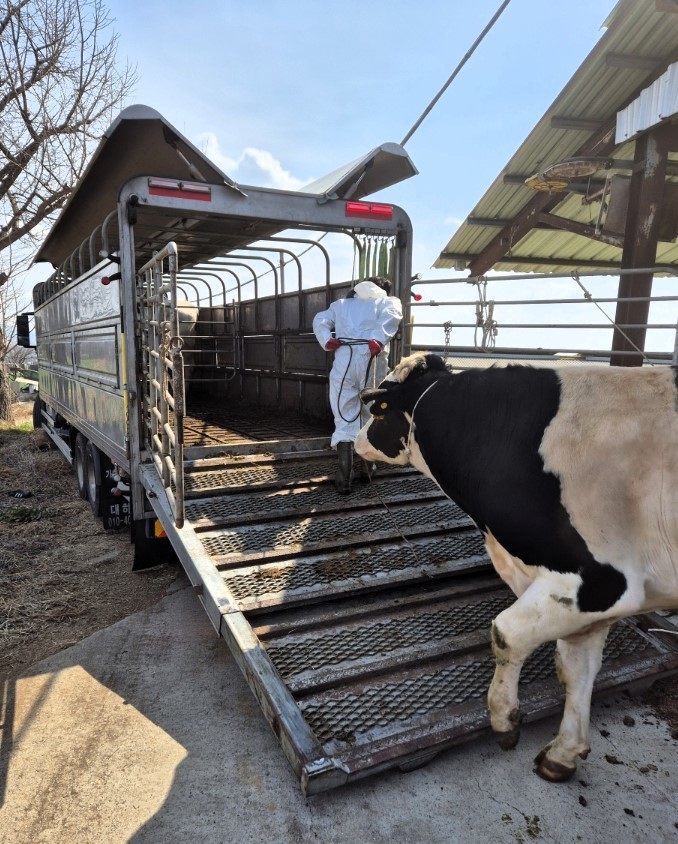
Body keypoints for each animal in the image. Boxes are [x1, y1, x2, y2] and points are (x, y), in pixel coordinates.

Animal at [354, 352, 678, 782]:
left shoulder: (601, 582)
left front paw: (505, 720)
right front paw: (563, 754)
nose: (355, 440)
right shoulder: (588, 604)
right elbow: (575, 668)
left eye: (378, 409)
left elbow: (506, 633)